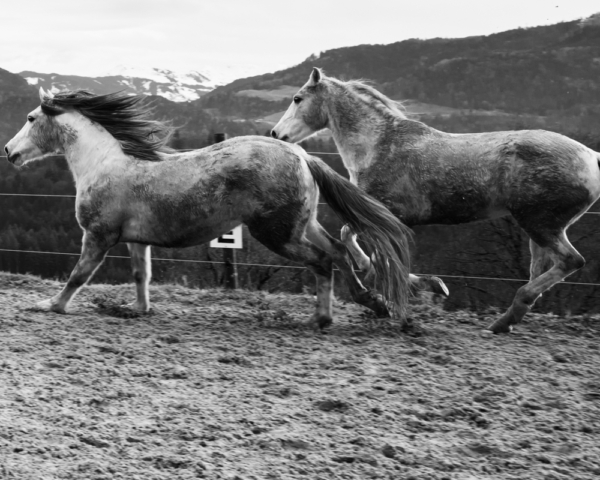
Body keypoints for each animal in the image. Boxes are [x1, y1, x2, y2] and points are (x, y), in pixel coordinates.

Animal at [4, 87, 418, 326]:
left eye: (30, 118)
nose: (9, 151)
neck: (103, 163)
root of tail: (301, 155)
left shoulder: (98, 236)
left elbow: (78, 275)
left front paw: (51, 305)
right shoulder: (136, 239)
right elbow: (141, 276)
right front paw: (139, 309)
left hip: (277, 234)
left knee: (323, 260)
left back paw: (323, 317)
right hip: (303, 224)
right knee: (337, 250)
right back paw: (372, 302)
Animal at [274, 67, 600, 334]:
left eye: (298, 98)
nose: (276, 133)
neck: (380, 146)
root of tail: (591, 156)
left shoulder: (389, 214)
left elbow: (376, 253)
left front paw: (416, 290)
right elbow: (353, 239)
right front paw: (421, 285)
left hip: (540, 224)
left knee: (572, 261)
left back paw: (506, 317)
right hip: (541, 227)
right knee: (543, 269)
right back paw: (508, 319)